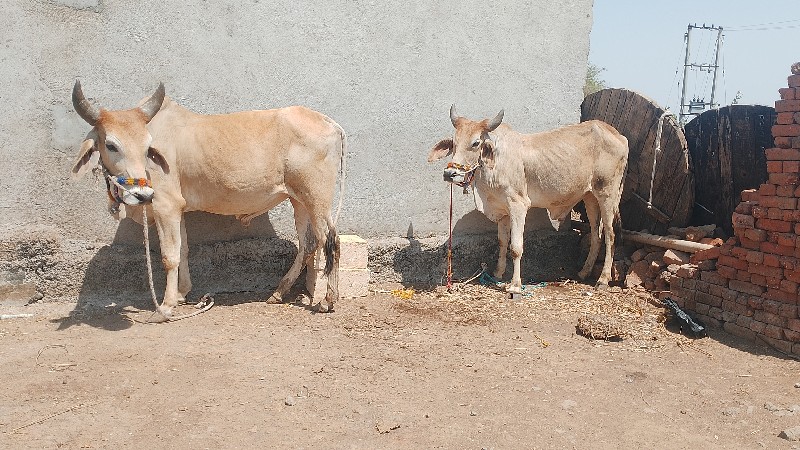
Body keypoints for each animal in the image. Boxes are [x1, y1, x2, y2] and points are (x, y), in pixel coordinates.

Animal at [69, 81, 344, 316]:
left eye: (148, 147)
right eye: (111, 145)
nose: (142, 194)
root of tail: (329, 122)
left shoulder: (165, 205)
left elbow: (169, 256)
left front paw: (165, 307)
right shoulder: (177, 209)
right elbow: (183, 249)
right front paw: (181, 293)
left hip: (317, 198)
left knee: (330, 241)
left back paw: (327, 300)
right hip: (298, 200)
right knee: (308, 244)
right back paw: (278, 292)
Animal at [428, 107, 628, 292]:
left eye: (476, 142)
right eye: (454, 143)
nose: (449, 173)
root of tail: (619, 136)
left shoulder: (518, 205)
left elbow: (515, 247)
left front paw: (515, 285)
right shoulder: (503, 210)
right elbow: (502, 242)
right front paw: (498, 273)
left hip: (608, 194)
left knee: (610, 235)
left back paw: (602, 279)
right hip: (590, 197)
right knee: (596, 235)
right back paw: (584, 272)